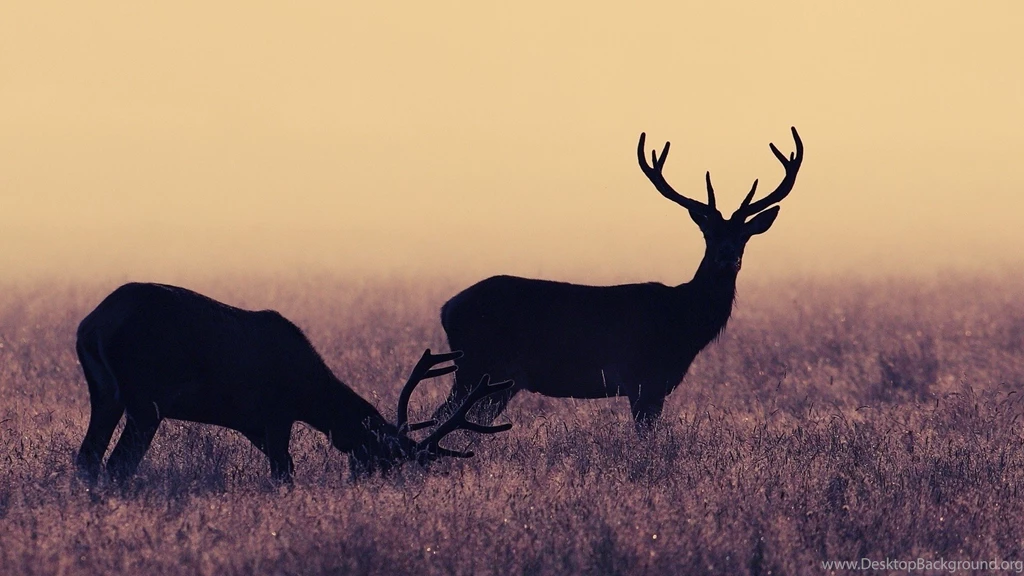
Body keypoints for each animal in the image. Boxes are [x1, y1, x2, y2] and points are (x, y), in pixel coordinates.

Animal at [74, 282, 514, 485]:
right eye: (383, 459)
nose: (365, 486)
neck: (308, 393)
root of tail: (94, 325)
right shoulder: (275, 411)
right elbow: (283, 470)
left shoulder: (256, 424)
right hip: (145, 398)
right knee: (118, 463)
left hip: (105, 394)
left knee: (88, 457)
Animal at [431, 127, 803, 432]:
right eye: (707, 234)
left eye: (744, 237)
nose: (727, 257)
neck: (684, 323)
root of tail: (447, 308)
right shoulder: (646, 379)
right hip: (478, 366)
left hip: (494, 378)